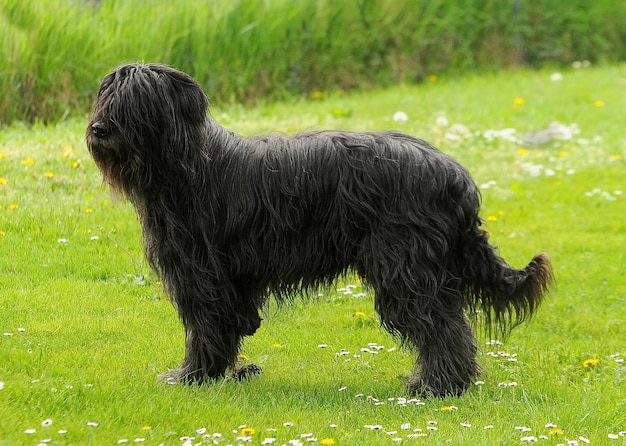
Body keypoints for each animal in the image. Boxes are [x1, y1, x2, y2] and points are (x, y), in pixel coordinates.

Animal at [84, 63, 552, 398]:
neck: (186, 166)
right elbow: (229, 326)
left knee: (441, 326)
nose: (99, 129)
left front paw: (193, 377)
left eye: (136, 101)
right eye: (105, 97)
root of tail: (456, 174)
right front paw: (231, 373)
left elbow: (207, 326)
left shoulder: (202, 273)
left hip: (405, 266)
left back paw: (437, 387)